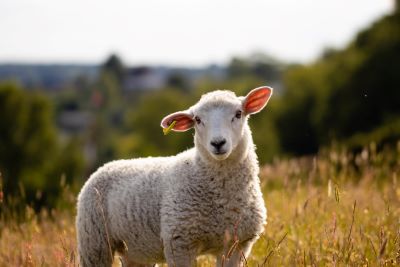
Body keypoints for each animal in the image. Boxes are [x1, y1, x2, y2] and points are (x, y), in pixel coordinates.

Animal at [76, 86, 274, 267]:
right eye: (197, 120)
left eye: (238, 113)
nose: (218, 143)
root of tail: (105, 166)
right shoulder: (179, 243)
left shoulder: (237, 245)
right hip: (95, 243)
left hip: (135, 250)